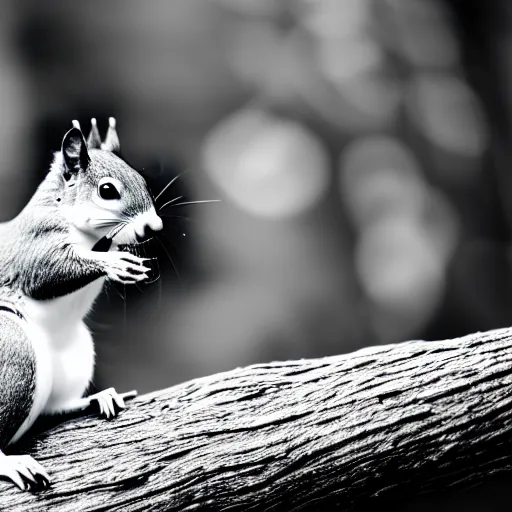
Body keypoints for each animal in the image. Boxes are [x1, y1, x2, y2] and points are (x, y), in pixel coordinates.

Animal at [0, 118, 162, 490]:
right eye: (107, 190)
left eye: (143, 180)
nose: (154, 227)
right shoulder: (34, 242)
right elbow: (45, 272)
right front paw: (113, 264)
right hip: (14, 349)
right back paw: (8, 462)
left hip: (75, 357)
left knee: (52, 409)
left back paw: (93, 399)